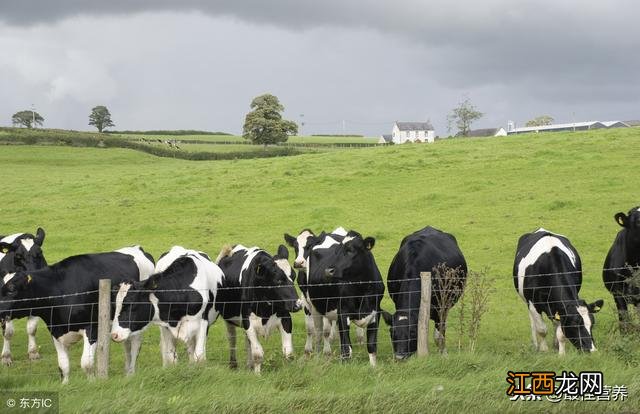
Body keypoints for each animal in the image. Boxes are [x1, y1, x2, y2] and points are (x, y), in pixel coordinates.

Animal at [215, 244, 302, 374]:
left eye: (293, 276)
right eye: (278, 280)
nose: (298, 305)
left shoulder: (285, 318)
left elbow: (288, 352)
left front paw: (289, 371)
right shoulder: (248, 321)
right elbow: (257, 353)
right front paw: (257, 375)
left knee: (247, 342)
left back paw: (249, 365)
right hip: (228, 318)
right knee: (232, 339)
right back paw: (233, 364)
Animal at [306, 230, 384, 366]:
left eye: (351, 250)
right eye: (337, 251)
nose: (328, 270)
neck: (362, 290)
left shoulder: (376, 311)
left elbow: (372, 345)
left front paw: (374, 367)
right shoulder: (343, 312)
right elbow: (347, 348)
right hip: (314, 306)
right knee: (319, 334)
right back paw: (318, 355)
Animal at [380, 226, 464, 360]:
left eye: (413, 332)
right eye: (392, 332)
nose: (400, 357)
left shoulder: (441, 308)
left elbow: (439, 336)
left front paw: (443, 354)